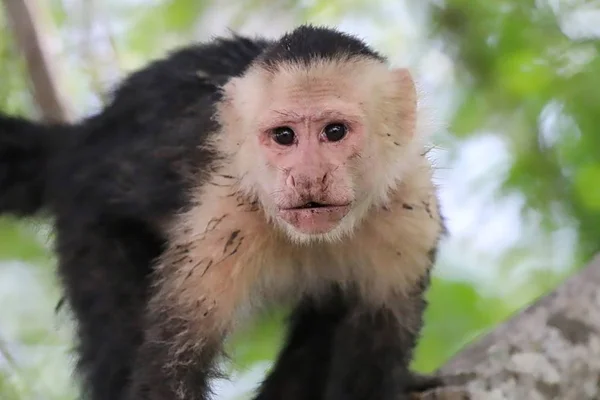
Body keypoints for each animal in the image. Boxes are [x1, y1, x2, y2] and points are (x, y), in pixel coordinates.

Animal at [0, 25, 446, 400]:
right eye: (284, 136)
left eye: (334, 131)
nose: (307, 176)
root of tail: (82, 139)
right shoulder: (225, 215)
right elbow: (169, 370)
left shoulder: (409, 211)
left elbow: (377, 347)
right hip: (89, 215)